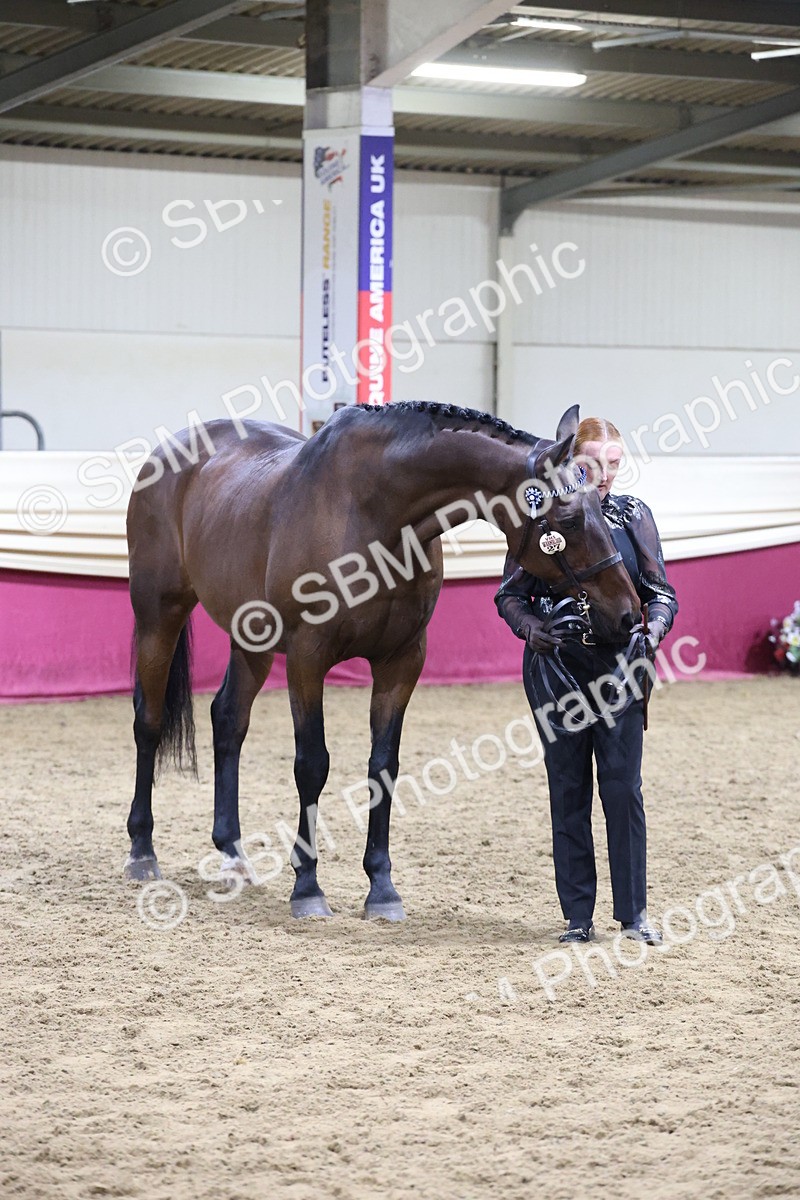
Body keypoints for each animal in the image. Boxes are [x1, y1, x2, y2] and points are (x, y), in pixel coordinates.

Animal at [124, 400, 640, 920]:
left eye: (602, 508)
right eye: (571, 521)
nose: (626, 613)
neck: (374, 515)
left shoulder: (402, 659)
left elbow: (383, 767)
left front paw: (382, 889)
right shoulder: (307, 658)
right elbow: (312, 764)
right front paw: (307, 888)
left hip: (251, 639)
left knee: (229, 719)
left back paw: (232, 855)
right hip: (159, 616)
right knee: (148, 722)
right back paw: (142, 853)